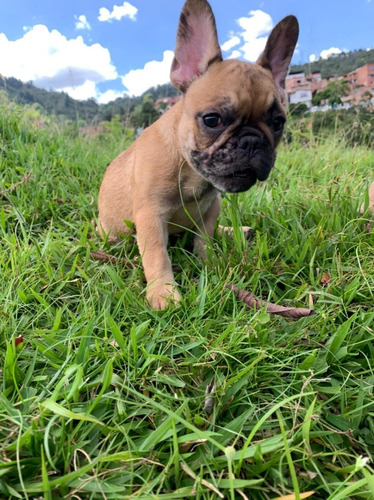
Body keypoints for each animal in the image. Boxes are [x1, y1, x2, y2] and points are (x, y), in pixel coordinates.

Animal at [98, 0, 300, 310]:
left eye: (278, 123)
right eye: (212, 120)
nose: (252, 141)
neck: (191, 172)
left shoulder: (212, 206)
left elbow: (205, 237)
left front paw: (209, 262)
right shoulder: (150, 216)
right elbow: (156, 255)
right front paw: (164, 294)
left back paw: (234, 231)